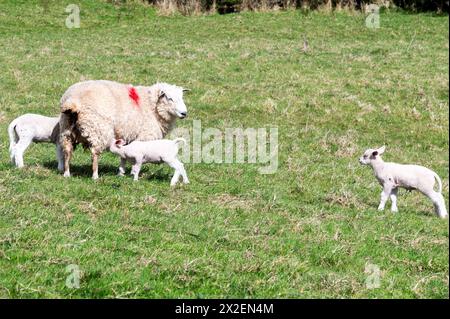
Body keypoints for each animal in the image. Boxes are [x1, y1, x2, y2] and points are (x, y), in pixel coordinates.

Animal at [59, 80, 189, 180]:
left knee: (68, 152)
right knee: (94, 154)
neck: (151, 105)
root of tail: (74, 101)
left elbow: (123, 156)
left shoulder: (126, 136)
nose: (184, 113)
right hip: (98, 130)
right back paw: (95, 176)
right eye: (170, 98)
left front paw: (121, 173)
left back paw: (67, 174)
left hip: (66, 130)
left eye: (182, 98)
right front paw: (134, 173)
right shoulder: (144, 136)